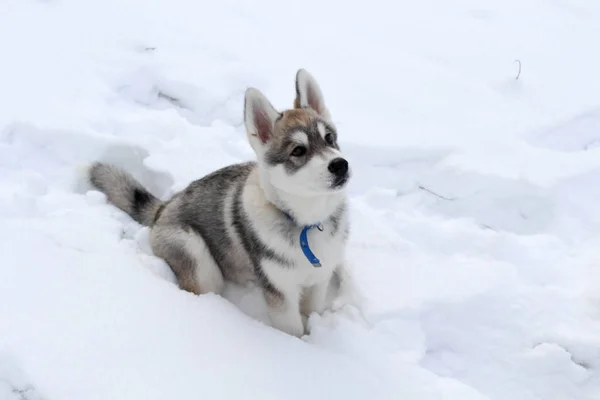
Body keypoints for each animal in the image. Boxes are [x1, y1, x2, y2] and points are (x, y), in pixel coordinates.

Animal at [86, 69, 354, 338]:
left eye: (329, 138)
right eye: (298, 151)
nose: (341, 165)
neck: (307, 221)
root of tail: (163, 208)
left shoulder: (319, 279)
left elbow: (311, 312)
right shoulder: (281, 292)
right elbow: (293, 332)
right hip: (200, 262)